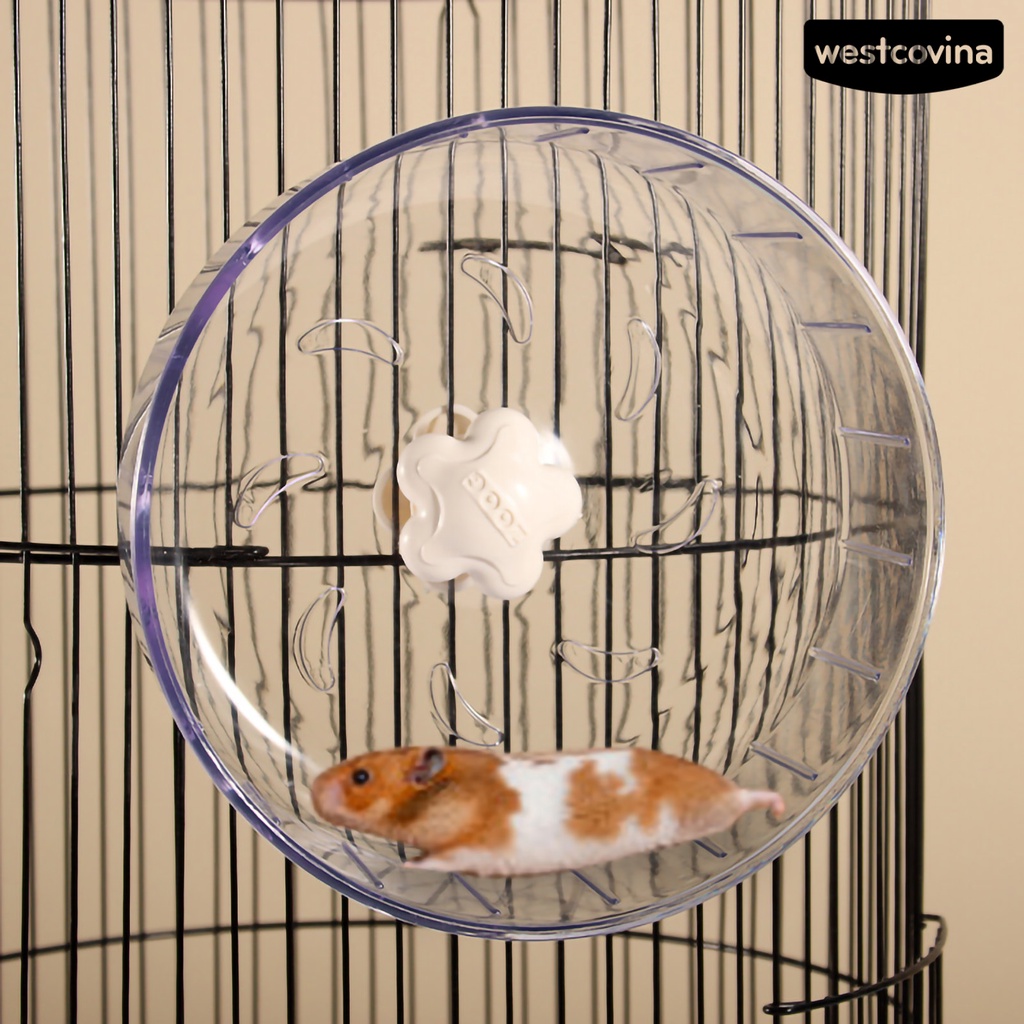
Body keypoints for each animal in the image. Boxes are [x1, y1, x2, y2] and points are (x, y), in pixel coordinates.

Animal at [311, 745, 784, 877]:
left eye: (360, 777)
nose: (313, 789)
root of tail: (723, 781)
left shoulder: (472, 849)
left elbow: (437, 861)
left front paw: (408, 866)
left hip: (709, 809)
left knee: (748, 798)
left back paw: (777, 805)